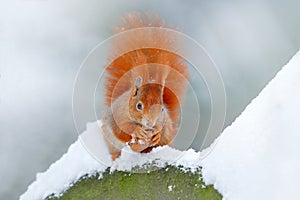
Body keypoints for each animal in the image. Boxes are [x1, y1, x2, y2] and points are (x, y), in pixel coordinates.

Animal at [102, 11, 189, 160]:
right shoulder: (117, 115)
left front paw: (156, 134)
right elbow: (121, 130)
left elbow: (161, 128)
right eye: (139, 106)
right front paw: (137, 131)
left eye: (162, 109)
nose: (150, 123)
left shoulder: (163, 120)